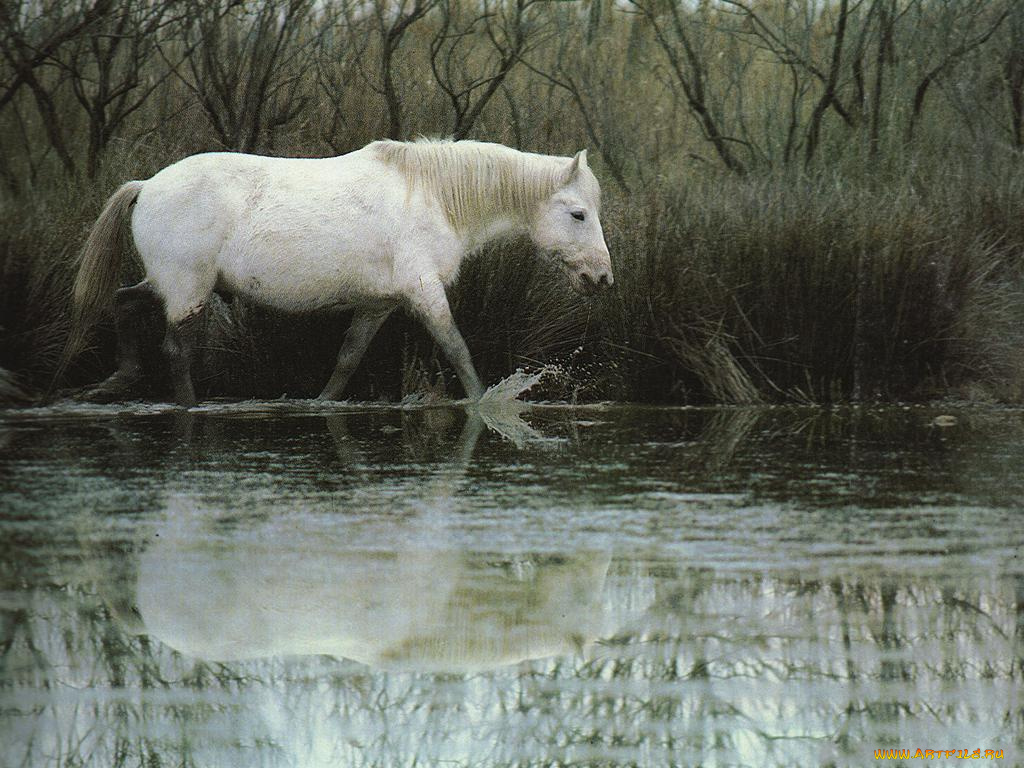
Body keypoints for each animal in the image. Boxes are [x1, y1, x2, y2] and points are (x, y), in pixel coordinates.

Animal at [64, 138, 613, 406]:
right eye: (578, 214)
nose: (603, 279)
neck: (433, 195)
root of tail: (147, 185)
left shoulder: (378, 304)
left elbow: (347, 360)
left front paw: (321, 404)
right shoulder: (424, 291)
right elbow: (457, 348)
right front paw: (485, 402)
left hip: (168, 283)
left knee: (123, 301)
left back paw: (116, 380)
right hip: (187, 289)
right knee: (176, 352)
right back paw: (186, 408)